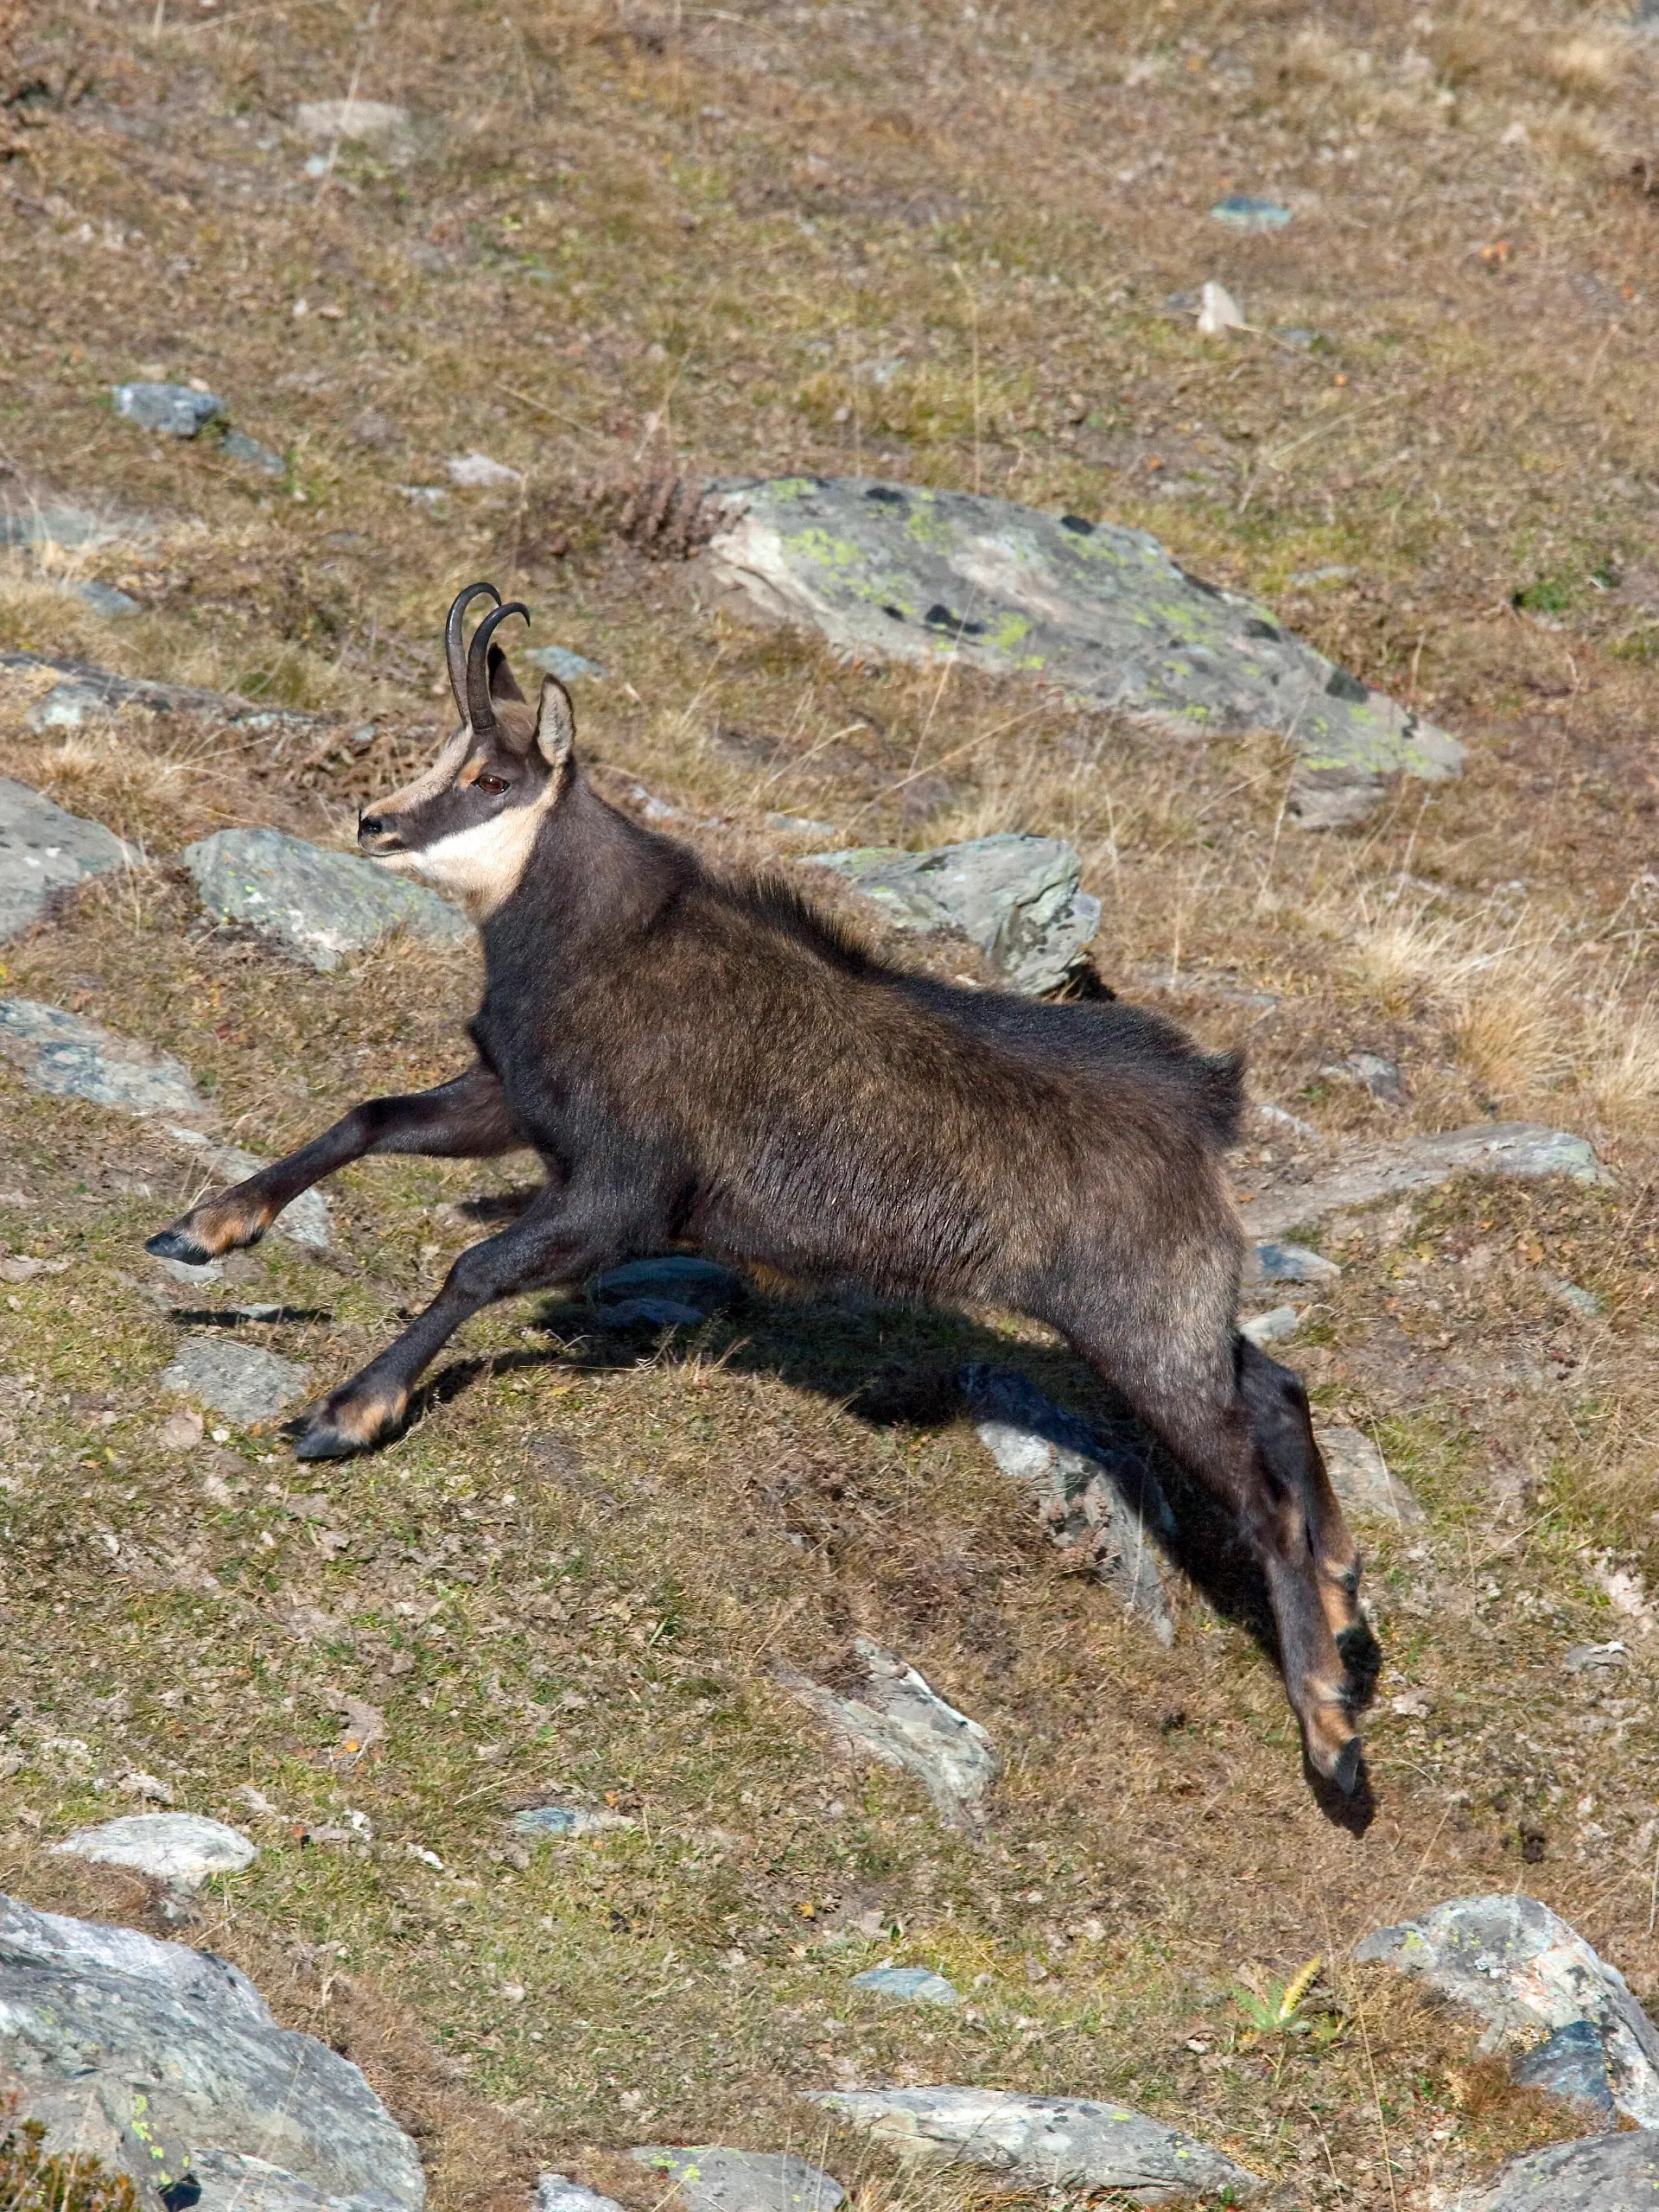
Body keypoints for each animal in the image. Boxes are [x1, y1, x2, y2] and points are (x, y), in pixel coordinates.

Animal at [147, 581, 1371, 1792]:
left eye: (492, 777)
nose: (374, 824)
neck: (596, 941)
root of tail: (1207, 1106)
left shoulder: (624, 1190)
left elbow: (476, 1266)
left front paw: (347, 1413)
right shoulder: (517, 1107)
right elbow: (371, 1119)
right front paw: (205, 1229)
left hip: (1136, 1324)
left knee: (1258, 1496)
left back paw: (1329, 1728)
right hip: (1167, 1311)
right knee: (1274, 1383)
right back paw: (1348, 1586)